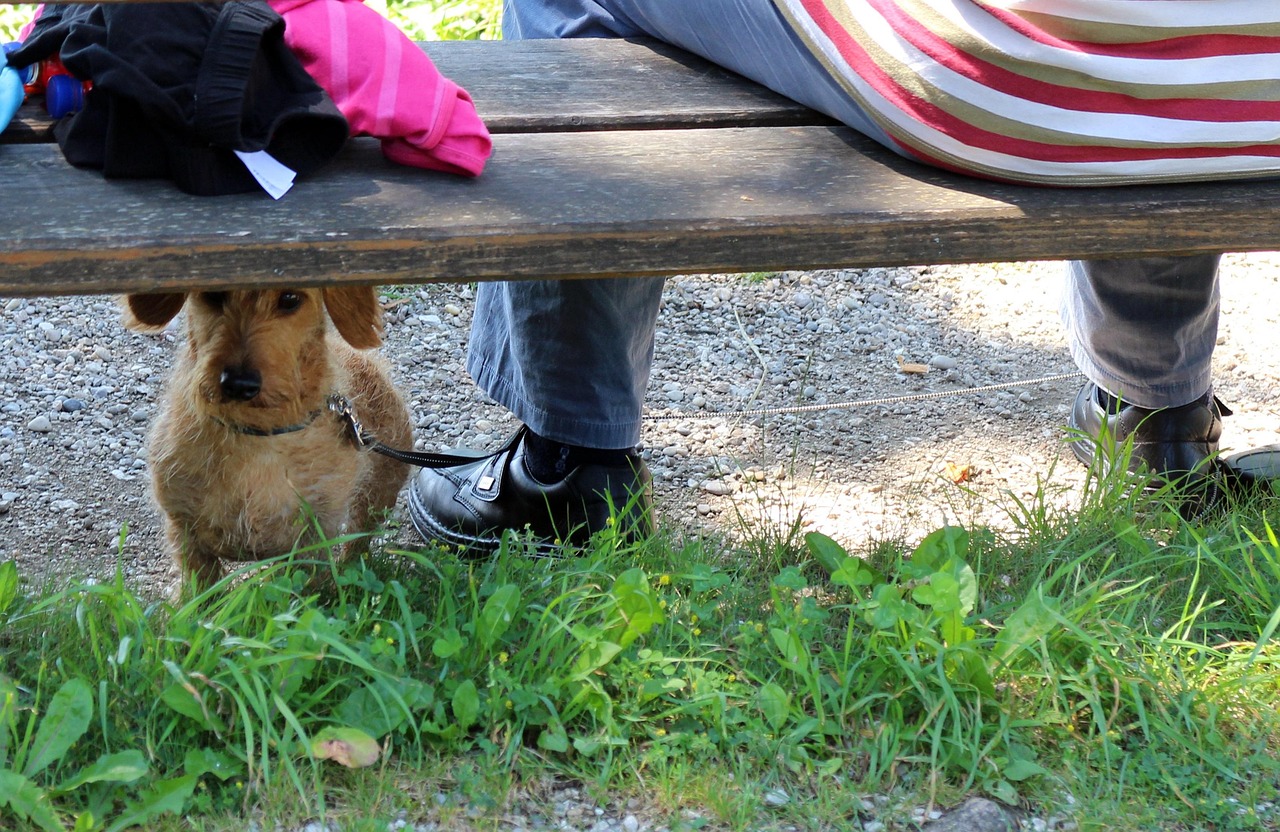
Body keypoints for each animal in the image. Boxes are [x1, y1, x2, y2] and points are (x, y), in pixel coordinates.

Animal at [124, 288, 409, 586]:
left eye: (290, 299)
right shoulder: (186, 531)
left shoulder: (314, 535)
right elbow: (202, 587)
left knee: (360, 540)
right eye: (213, 294)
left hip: (377, 499)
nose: (239, 384)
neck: (256, 433)